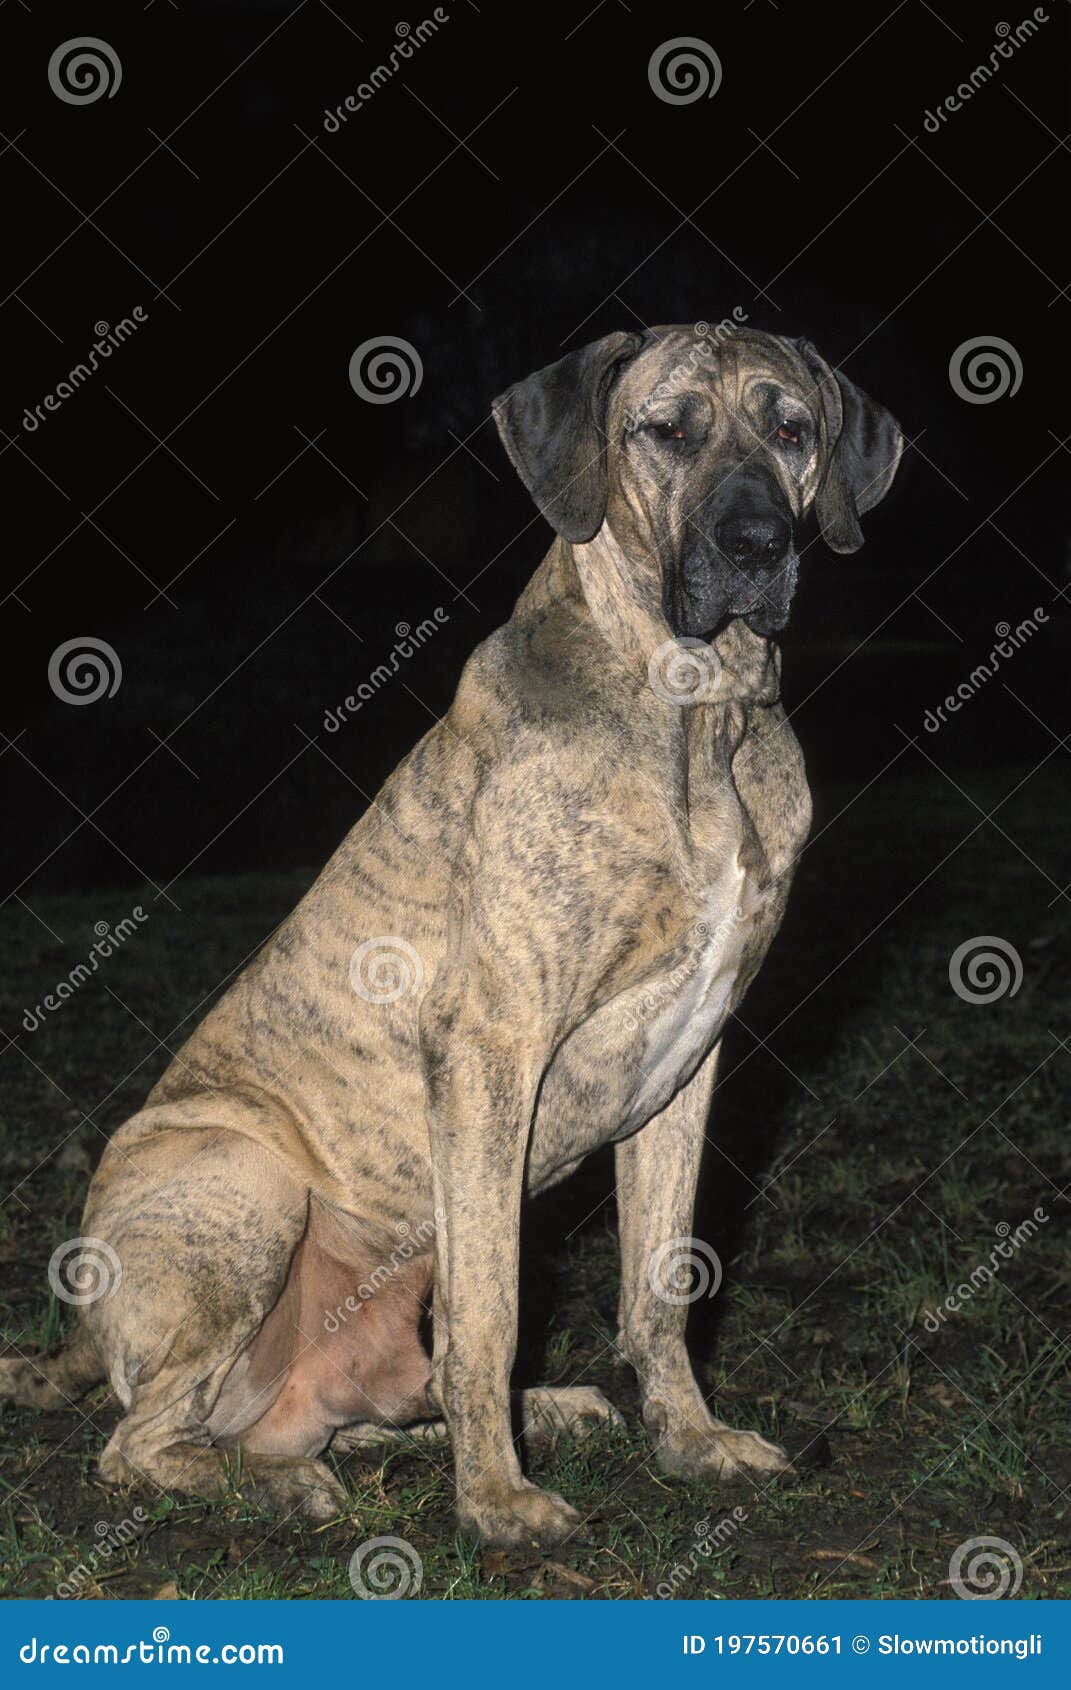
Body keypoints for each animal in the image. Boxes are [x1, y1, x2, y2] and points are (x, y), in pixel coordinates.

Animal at [2, 326, 898, 1548]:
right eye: (665, 431)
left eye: (792, 429)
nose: (756, 545)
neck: (695, 715)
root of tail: (82, 1343)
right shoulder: (488, 1050)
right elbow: (492, 1311)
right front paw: (500, 1502)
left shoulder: (691, 1064)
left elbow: (660, 1283)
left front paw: (690, 1441)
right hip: (246, 1182)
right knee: (138, 1446)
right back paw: (287, 1486)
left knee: (333, 1420)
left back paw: (535, 1412)